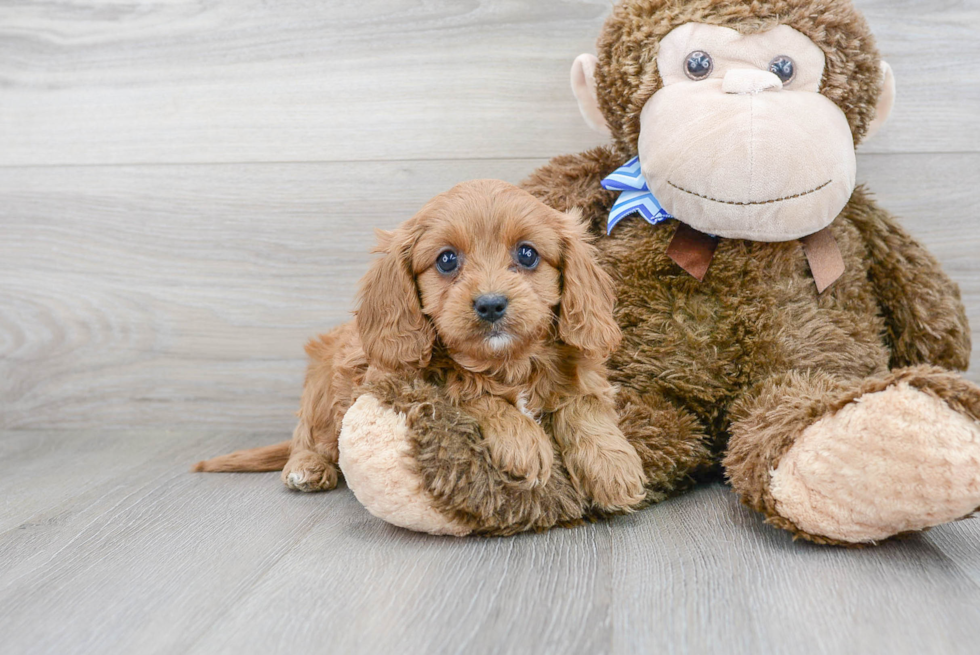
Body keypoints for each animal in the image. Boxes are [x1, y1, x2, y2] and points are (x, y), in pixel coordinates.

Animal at [194, 179, 648, 512]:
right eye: (447, 260)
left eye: (527, 254)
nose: (490, 304)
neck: (507, 361)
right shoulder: (397, 377)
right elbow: (469, 390)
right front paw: (522, 439)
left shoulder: (583, 374)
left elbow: (583, 405)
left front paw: (614, 467)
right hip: (324, 387)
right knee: (308, 435)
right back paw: (305, 467)